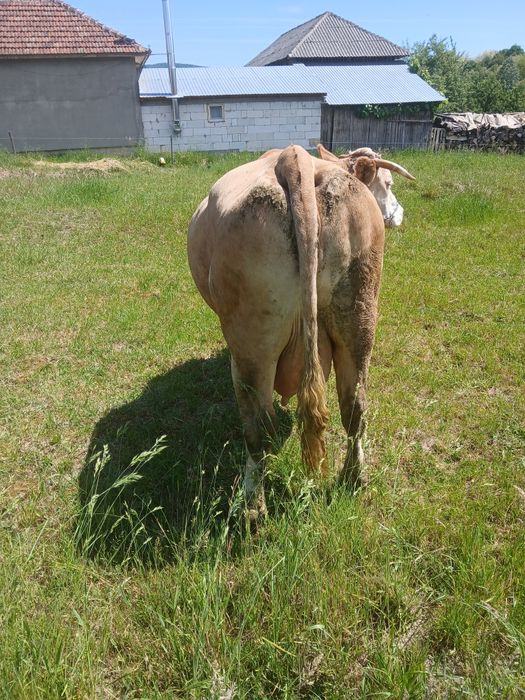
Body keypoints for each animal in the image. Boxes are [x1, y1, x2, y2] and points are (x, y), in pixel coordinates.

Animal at [187, 144, 415, 522]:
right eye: (387, 182)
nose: (399, 213)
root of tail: (295, 159)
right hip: (358, 320)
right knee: (355, 408)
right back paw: (353, 479)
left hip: (252, 344)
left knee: (258, 429)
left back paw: (252, 508)